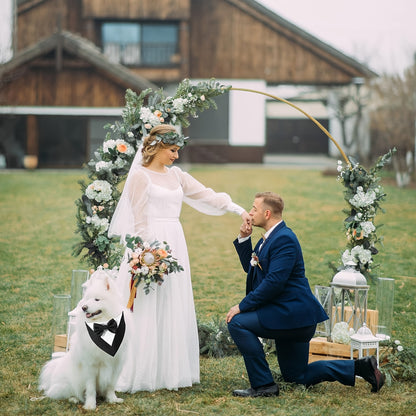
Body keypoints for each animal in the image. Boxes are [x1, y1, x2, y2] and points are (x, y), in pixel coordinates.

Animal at [38, 268, 127, 412]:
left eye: (97, 299)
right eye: (87, 299)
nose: (83, 307)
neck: (103, 325)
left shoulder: (116, 364)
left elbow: (111, 385)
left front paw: (112, 399)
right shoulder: (90, 365)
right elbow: (90, 389)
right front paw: (90, 405)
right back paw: (74, 399)